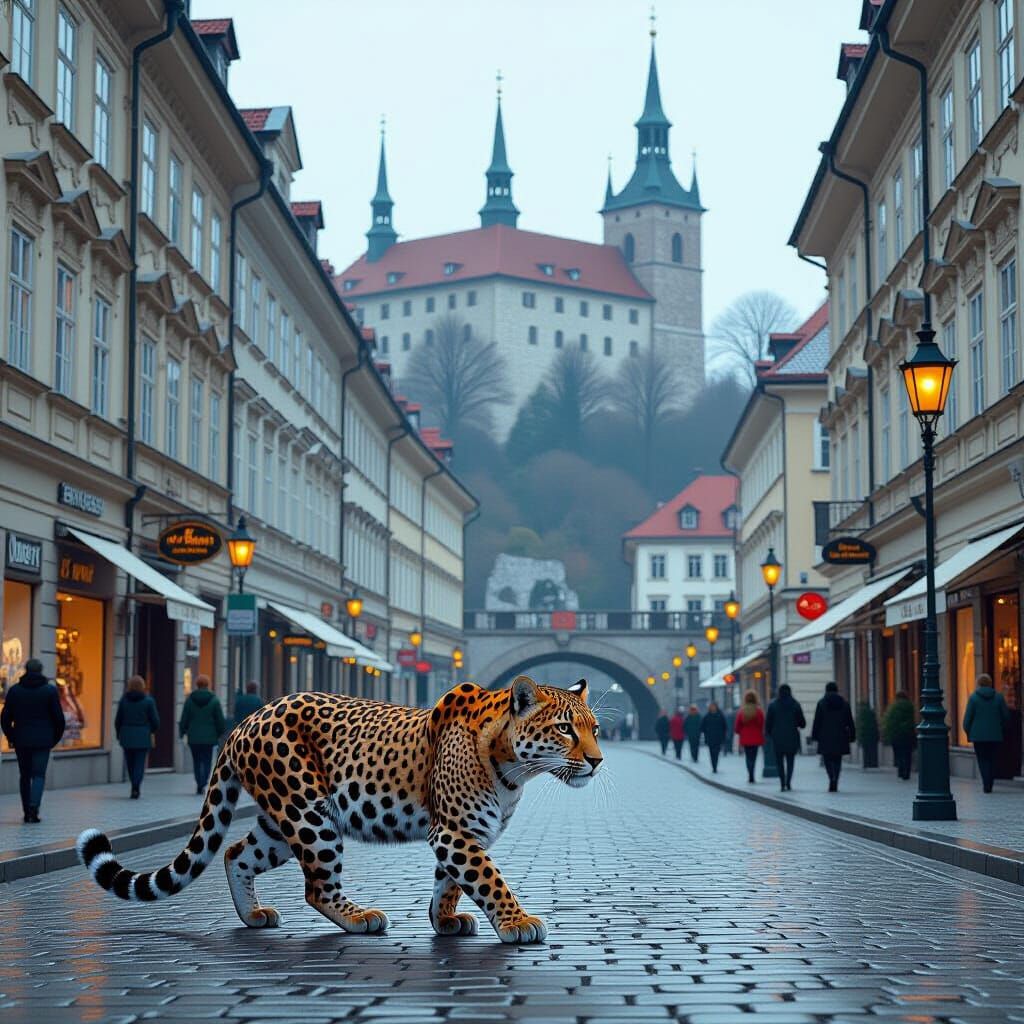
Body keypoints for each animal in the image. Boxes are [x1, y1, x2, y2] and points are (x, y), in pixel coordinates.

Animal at [77, 674, 603, 944]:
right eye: (564, 729)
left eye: (594, 728)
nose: (598, 760)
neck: (514, 768)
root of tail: (245, 720)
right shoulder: (455, 832)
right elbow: (489, 878)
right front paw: (518, 922)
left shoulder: (464, 833)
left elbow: (452, 882)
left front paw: (445, 920)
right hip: (309, 814)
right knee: (316, 888)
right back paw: (360, 917)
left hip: (283, 820)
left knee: (234, 853)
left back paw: (253, 916)